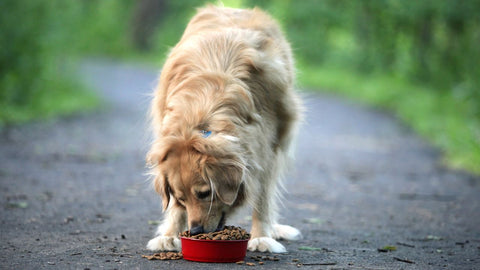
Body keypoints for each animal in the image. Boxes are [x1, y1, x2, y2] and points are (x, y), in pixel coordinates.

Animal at [145, 4, 300, 253]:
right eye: (181, 198)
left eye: (205, 193)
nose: (195, 231)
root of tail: (234, 8)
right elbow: (174, 209)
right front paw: (170, 235)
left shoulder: (264, 150)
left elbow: (262, 197)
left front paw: (261, 238)